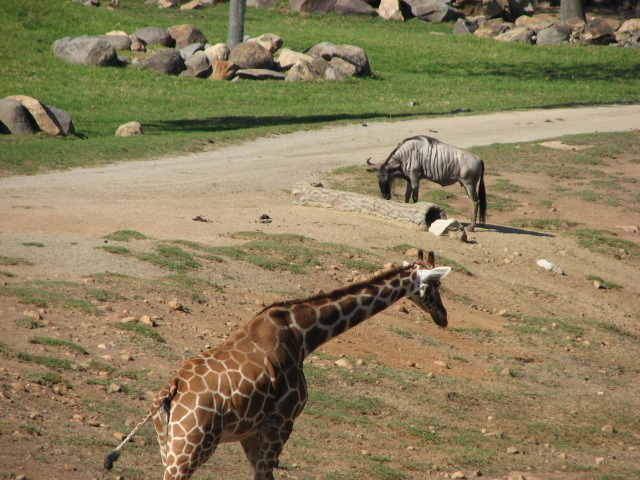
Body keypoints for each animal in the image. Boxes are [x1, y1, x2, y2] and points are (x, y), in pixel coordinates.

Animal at [104, 250, 451, 480]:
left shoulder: (251, 431)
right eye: (435, 286)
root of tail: (169, 392)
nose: (444, 317)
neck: (302, 334)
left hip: (167, 444)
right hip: (189, 448)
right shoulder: (282, 422)